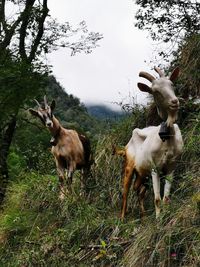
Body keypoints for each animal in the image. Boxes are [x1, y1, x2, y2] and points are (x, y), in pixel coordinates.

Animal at [119, 67, 184, 220]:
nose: (174, 102)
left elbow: (166, 197)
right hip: (129, 166)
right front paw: (158, 219)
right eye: (155, 91)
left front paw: (166, 214)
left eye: (171, 84)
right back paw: (122, 218)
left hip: (142, 173)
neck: (167, 139)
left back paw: (143, 217)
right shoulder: (155, 168)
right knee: (126, 191)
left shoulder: (172, 166)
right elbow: (157, 198)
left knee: (139, 190)